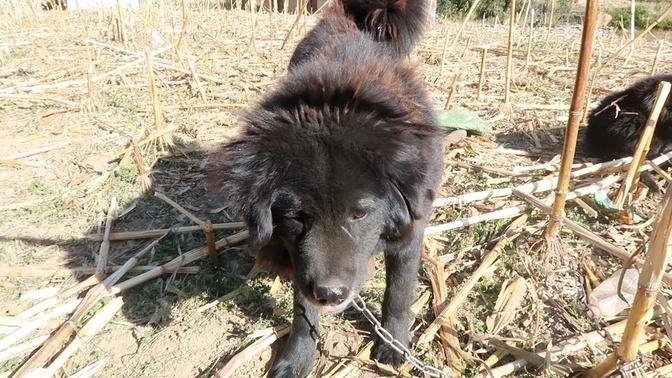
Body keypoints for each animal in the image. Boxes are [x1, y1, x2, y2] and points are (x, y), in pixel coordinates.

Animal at [207, 0, 444, 376]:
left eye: (360, 214)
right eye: (295, 216)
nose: (330, 294)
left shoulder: (409, 232)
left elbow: (399, 293)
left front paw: (393, 344)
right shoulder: (300, 257)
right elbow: (303, 312)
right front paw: (297, 357)